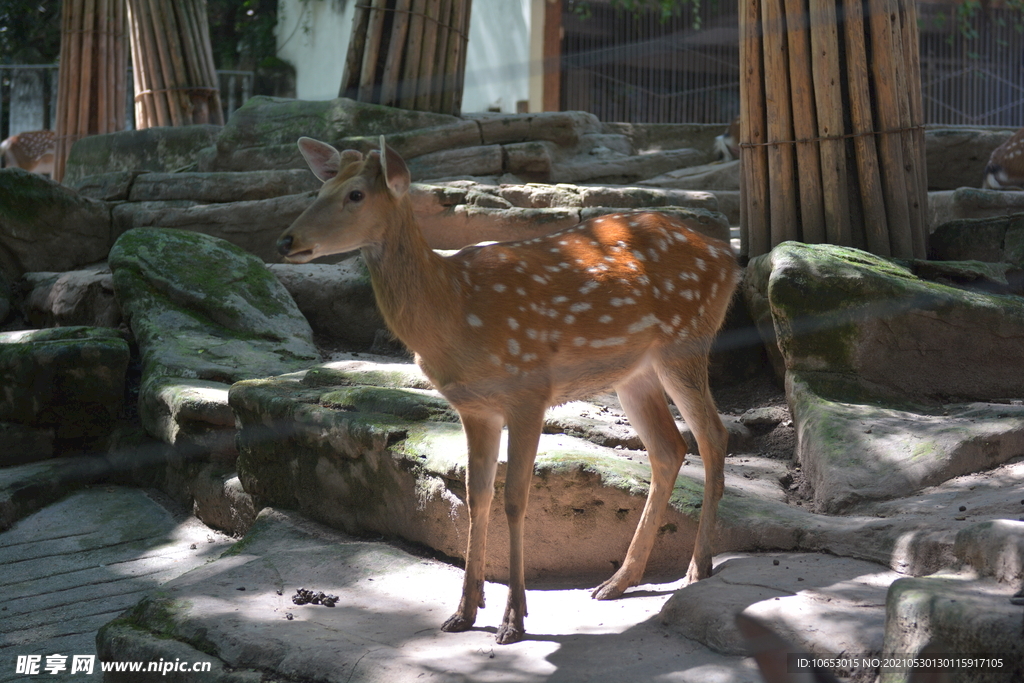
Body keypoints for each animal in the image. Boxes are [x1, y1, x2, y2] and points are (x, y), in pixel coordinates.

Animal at [278, 135, 745, 647]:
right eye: (319, 190)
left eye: (356, 194)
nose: (286, 240)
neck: (454, 309)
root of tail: (728, 256)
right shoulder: (474, 407)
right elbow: (475, 495)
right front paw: (463, 611)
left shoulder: (529, 389)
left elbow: (516, 499)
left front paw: (513, 619)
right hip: (633, 372)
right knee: (669, 448)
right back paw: (617, 581)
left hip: (687, 338)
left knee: (713, 436)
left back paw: (697, 568)